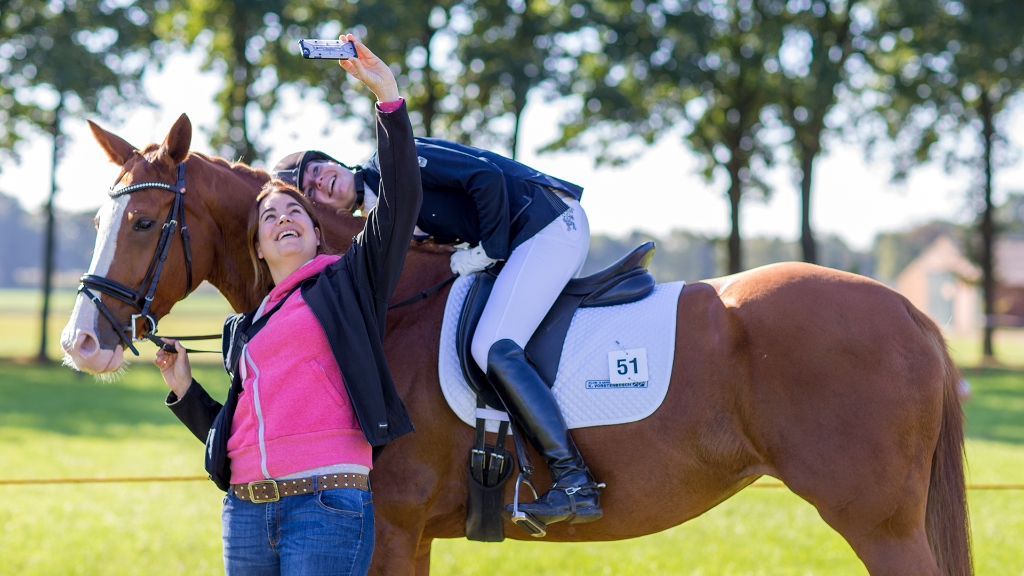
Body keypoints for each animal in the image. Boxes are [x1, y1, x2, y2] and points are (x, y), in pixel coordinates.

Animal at [59, 113, 970, 573]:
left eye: (146, 222)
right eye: (104, 215)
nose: (81, 344)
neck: (380, 303)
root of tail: (911, 313)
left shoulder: (392, 529)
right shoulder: (409, 534)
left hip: (879, 524)